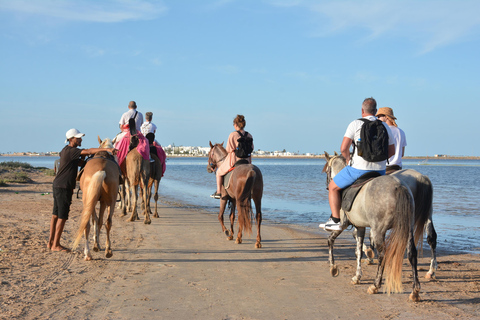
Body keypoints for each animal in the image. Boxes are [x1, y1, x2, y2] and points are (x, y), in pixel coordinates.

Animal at [322, 151, 420, 302]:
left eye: (327, 170)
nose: (328, 186)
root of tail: (398, 186)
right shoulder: (360, 227)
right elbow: (358, 251)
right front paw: (357, 277)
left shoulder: (343, 224)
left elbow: (330, 240)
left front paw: (333, 267)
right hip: (408, 228)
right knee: (412, 254)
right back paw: (415, 291)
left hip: (379, 231)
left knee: (383, 255)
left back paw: (375, 285)